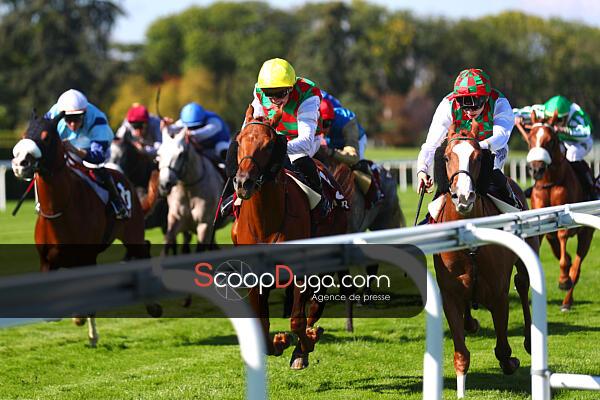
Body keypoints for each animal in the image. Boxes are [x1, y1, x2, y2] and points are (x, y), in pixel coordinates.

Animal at [11, 113, 157, 347]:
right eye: (25, 133)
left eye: (46, 136)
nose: (19, 163)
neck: (60, 210)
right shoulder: (46, 261)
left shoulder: (87, 258)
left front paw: (89, 330)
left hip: (132, 232)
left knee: (143, 249)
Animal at [232, 105, 348, 370]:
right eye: (239, 140)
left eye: (268, 145)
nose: (243, 183)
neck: (265, 222)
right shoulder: (255, 278)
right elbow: (262, 325)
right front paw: (279, 342)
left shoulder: (300, 272)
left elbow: (297, 320)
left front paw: (301, 348)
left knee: (315, 305)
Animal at [433, 121, 538, 397]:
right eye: (446, 157)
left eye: (478, 157)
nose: (464, 197)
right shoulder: (449, 295)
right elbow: (461, 353)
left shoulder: (499, 295)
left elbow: (503, 349)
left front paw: (511, 361)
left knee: (523, 283)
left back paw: (529, 340)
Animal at [525, 111, 594, 311]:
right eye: (530, 139)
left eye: (550, 141)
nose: (536, 169)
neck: (550, 182)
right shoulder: (541, 222)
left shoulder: (566, 218)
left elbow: (563, 239)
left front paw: (563, 279)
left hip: (586, 235)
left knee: (576, 269)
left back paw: (566, 300)